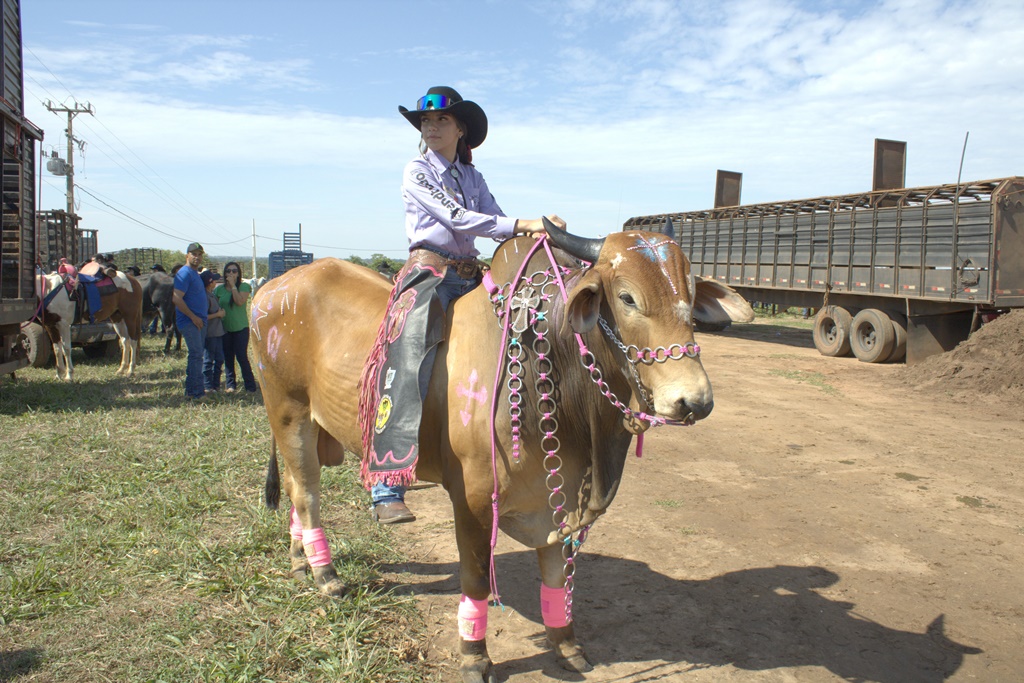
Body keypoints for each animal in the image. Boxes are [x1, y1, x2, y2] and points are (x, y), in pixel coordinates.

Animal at [252, 224, 754, 682]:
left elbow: (556, 575)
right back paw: (325, 574)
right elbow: (475, 575)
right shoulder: (472, 499)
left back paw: (300, 559)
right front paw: (475, 656)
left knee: (296, 488)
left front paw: (566, 644)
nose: (693, 400)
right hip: (287, 411)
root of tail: (273, 288)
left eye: (690, 293)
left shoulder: (560, 493)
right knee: (307, 493)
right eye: (627, 298)